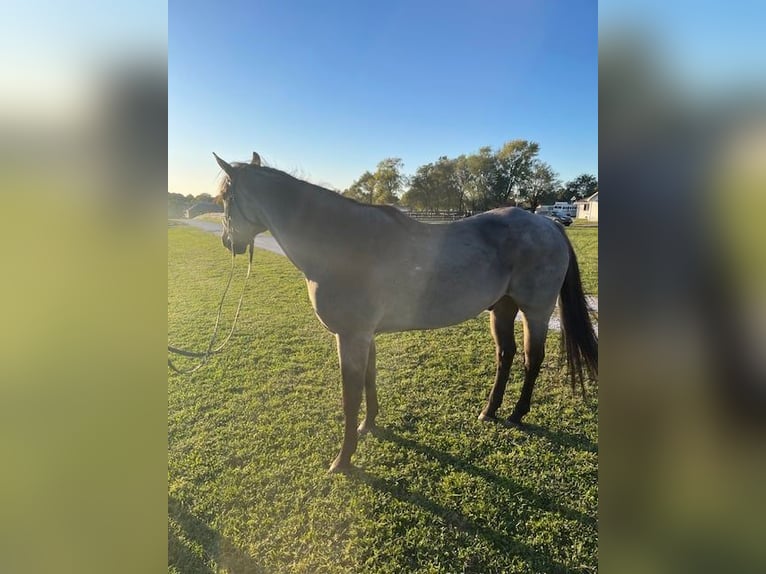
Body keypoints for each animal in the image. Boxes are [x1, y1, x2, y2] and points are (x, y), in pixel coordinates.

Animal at [214, 152, 597, 473]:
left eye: (225, 199)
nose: (228, 243)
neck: (343, 244)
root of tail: (548, 225)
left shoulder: (351, 336)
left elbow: (350, 396)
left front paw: (343, 459)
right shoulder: (364, 335)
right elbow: (369, 380)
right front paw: (368, 426)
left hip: (535, 311)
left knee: (533, 358)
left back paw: (517, 414)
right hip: (502, 309)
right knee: (506, 354)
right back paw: (489, 411)